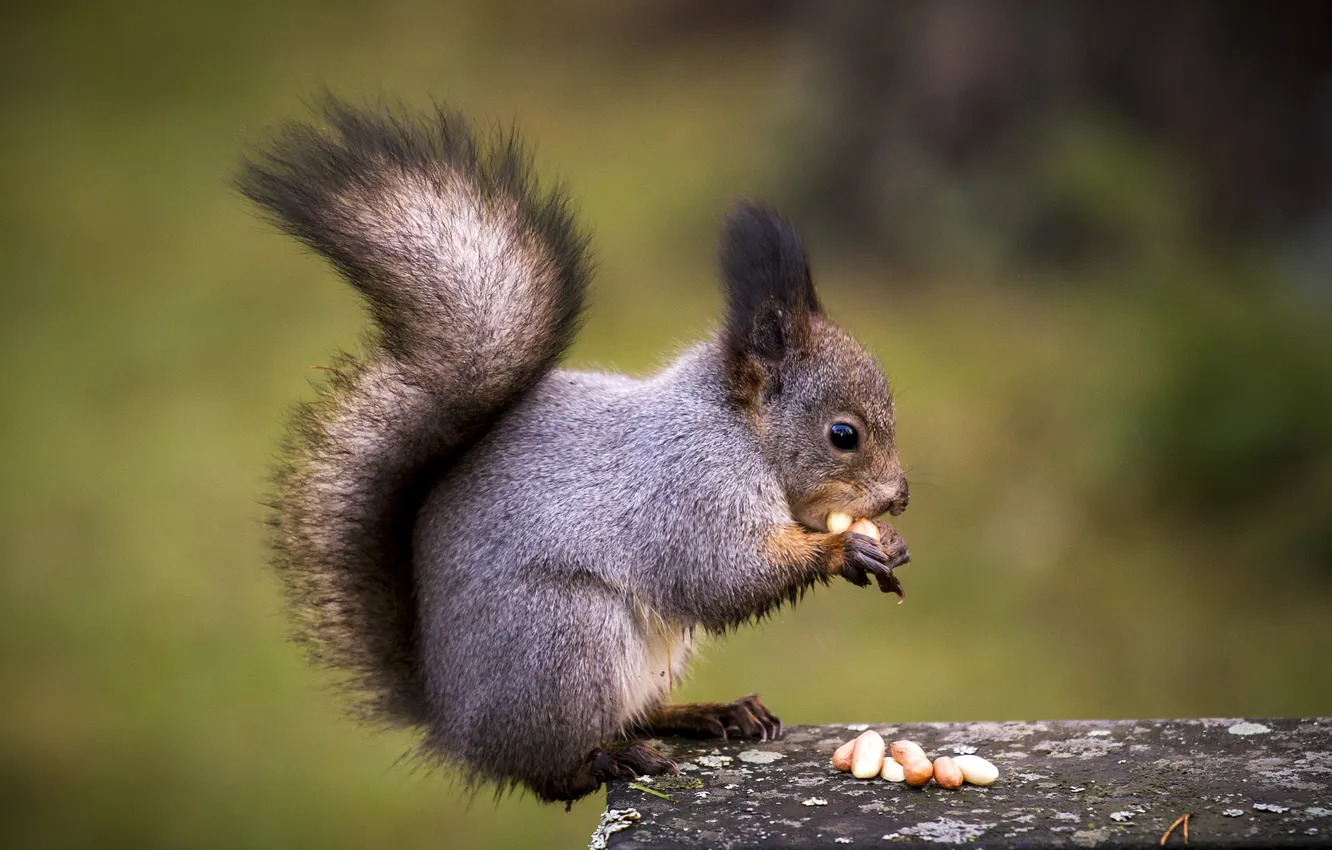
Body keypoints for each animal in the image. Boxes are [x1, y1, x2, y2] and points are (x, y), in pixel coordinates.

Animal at [237, 98, 905, 804]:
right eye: (843, 434)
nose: (900, 498)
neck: (738, 428)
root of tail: (457, 727)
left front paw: (885, 543)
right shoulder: (689, 486)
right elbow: (722, 574)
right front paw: (845, 548)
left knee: (637, 713)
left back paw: (706, 713)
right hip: (567, 642)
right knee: (550, 770)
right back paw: (606, 759)